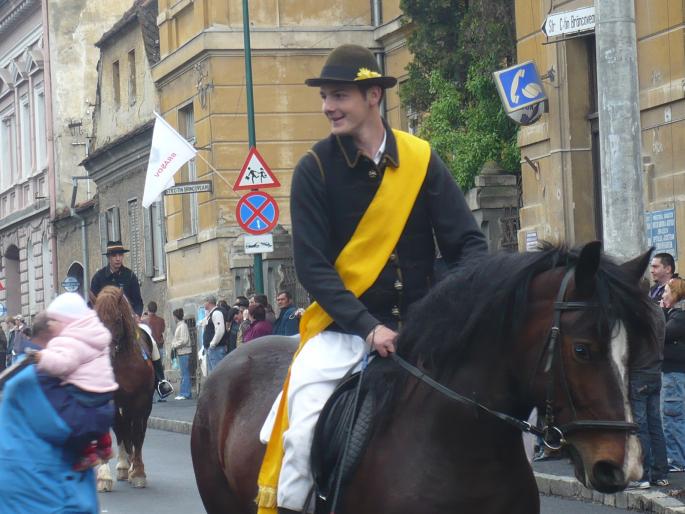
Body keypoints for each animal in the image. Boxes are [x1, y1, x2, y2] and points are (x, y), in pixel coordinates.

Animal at [91, 284, 154, 488]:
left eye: (117, 320)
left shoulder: (142, 401)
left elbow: (137, 434)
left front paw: (139, 472)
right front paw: (104, 476)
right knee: (121, 430)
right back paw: (123, 466)